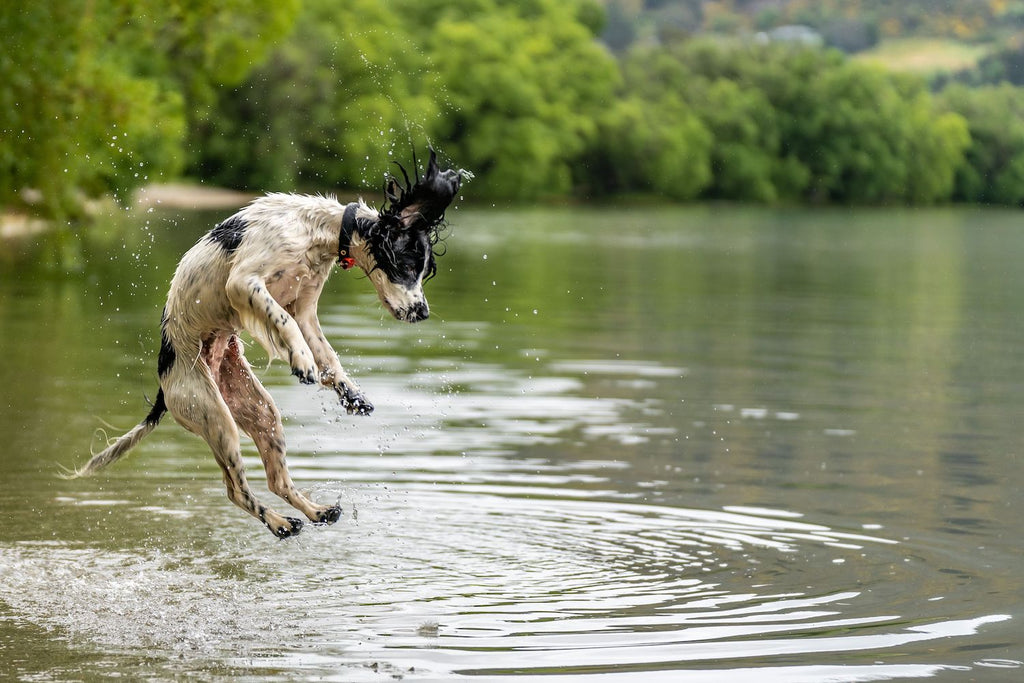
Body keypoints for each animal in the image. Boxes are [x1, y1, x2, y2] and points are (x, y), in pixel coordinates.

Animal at [65, 149, 464, 540]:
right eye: (407, 265)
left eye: (422, 269)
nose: (423, 312)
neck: (313, 231)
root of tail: (164, 387)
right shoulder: (245, 283)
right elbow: (285, 324)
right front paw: (302, 361)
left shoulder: (305, 309)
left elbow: (326, 354)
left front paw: (350, 393)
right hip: (217, 419)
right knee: (236, 491)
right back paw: (280, 523)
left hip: (261, 413)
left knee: (277, 481)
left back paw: (317, 512)